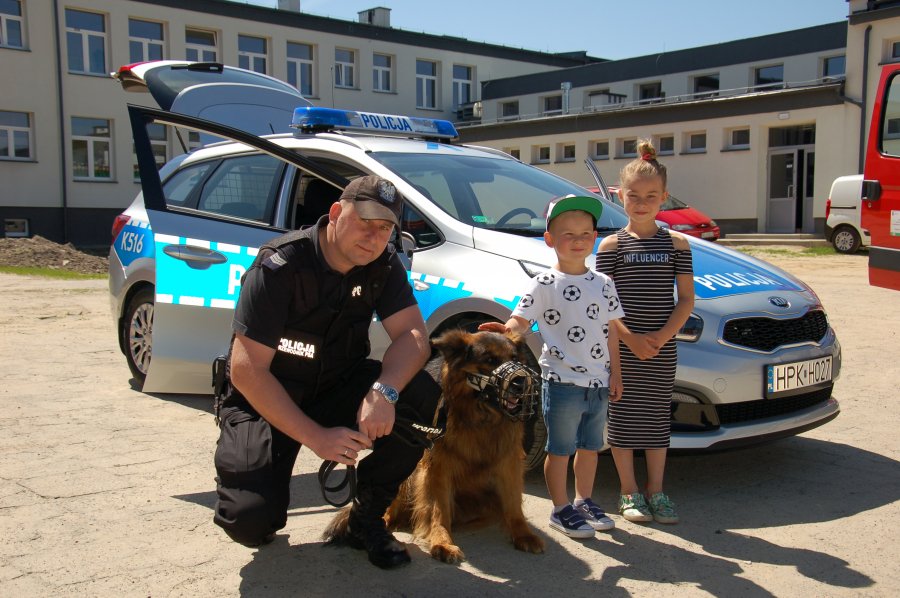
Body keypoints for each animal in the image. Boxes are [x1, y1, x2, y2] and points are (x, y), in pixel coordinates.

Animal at [326, 330, 544, 564]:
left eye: (515, 359)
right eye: (490, 360)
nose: (522, 381)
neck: (477, 417)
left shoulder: (508, 460)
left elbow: (513, 503)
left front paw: (523, 534)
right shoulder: (438, 467)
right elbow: (439, 510)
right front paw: (443, 542)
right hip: (407, 478)